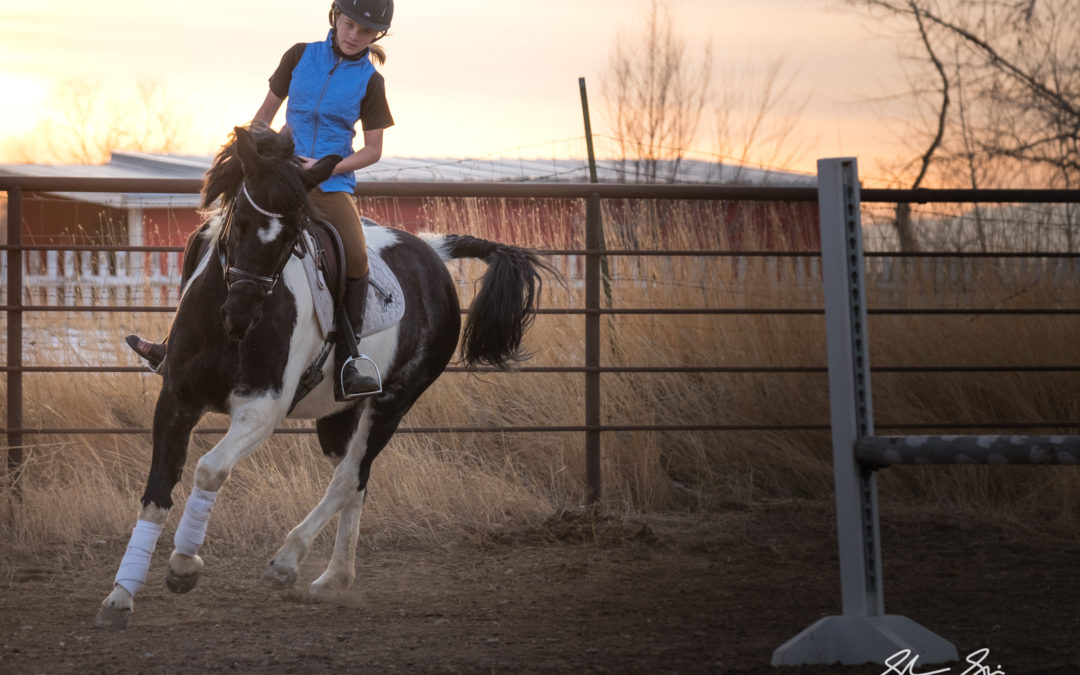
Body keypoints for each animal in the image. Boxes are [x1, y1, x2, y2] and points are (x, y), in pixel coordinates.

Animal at [96, 127, 552, 630]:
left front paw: (183, 565)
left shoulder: (261, 408)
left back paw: (287, 563)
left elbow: (211, 469)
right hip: (339, 416)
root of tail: (430, 252)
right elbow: (156, 492)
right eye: (239, 225)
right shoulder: (177, 399)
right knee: (356, 479)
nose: (241, 315)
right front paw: (121, 595)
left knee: (350, 475)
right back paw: (334, 579)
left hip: (392, 402)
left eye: (292, 239)